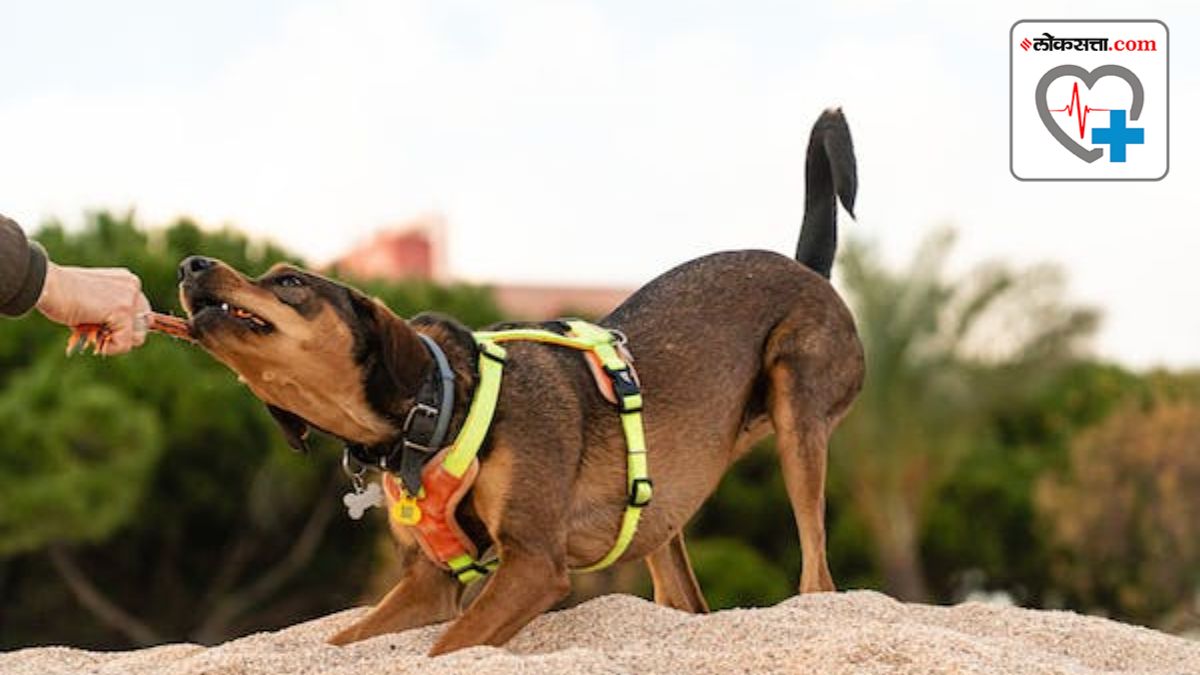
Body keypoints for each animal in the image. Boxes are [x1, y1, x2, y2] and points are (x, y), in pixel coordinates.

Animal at [175, 109, 864, 653]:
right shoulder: (426, 583)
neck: (436, 407)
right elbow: (340, 641)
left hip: (797, 410)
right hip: (658, 504)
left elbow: (445, 648)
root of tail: (808, 269)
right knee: (686, 602)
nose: (189, 263)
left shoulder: (532, 564)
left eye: (290, 281)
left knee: (820, 580)